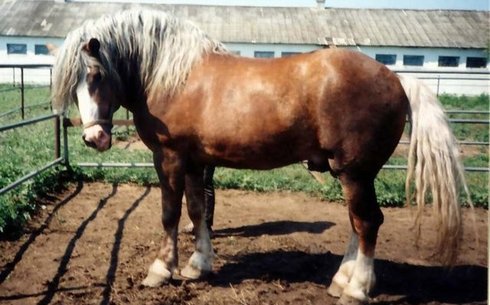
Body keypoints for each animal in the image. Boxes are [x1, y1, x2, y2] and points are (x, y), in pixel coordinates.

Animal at [51, 9, 468, 304]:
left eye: (96, 76)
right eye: (72, 85)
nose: (94, 137)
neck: (171, 75)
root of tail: (395, 77)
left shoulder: (168, 158)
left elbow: (170, 214)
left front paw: (160, 270)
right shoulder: (196, 162)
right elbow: (197, 211)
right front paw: (197, 265)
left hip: (355, 172)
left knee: (367, 223)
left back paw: (356, 290)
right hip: (353, 175)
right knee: (357, 223)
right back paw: (340, 281)